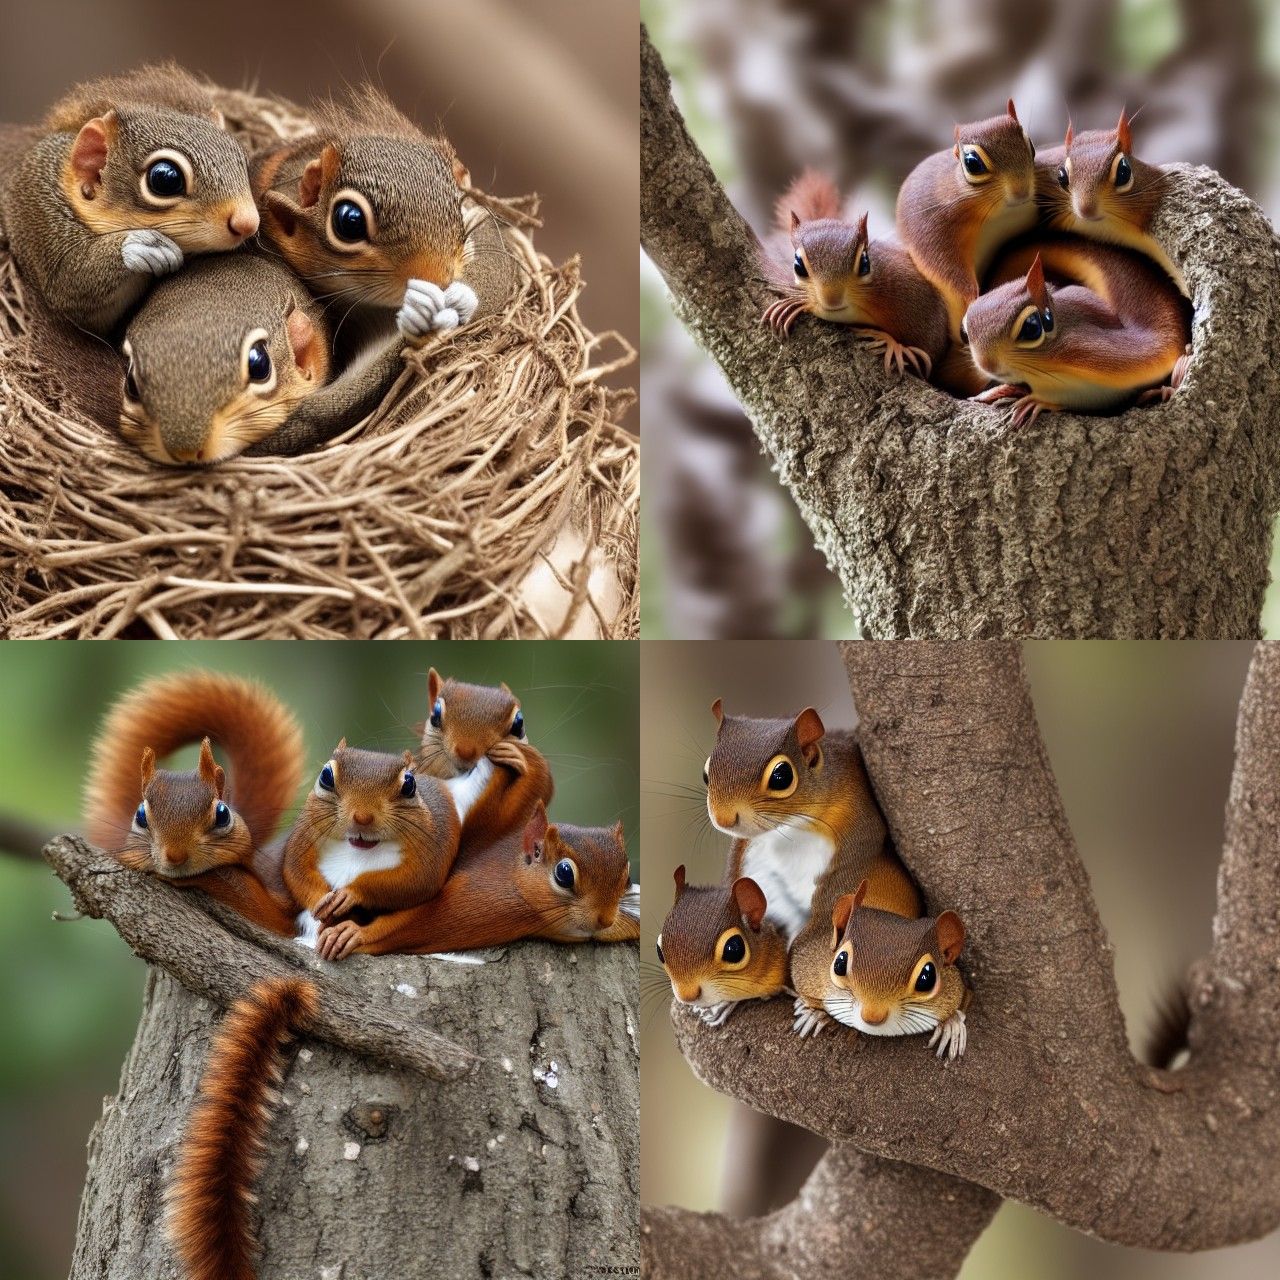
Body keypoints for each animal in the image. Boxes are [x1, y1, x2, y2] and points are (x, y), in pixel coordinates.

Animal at [0, 64, 258, 335]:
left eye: (243, 161)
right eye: (165, 178)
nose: (248, 223)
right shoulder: (40, 213)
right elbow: (66, 281)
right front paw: (142, 245)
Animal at [283, 741, 461, 948]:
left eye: (409, 784)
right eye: (326, 776)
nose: (362, 817)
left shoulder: (430, 844)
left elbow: (418, 879)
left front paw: (350, 893)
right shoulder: (306, 832)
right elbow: (296, 869)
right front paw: (320, 899)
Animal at [760, 170, 949, 380]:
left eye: (865, 263)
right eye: (798, 266)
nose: (832, 299)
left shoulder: (921, 304)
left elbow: (929, 354)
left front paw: (896, 347)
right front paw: (792, 304)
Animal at [896, 100, 1039, 348]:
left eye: (1030, 144)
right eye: (972, 163)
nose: (1021, 190)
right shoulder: (932, 228)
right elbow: (946, 268)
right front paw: (973, 298)